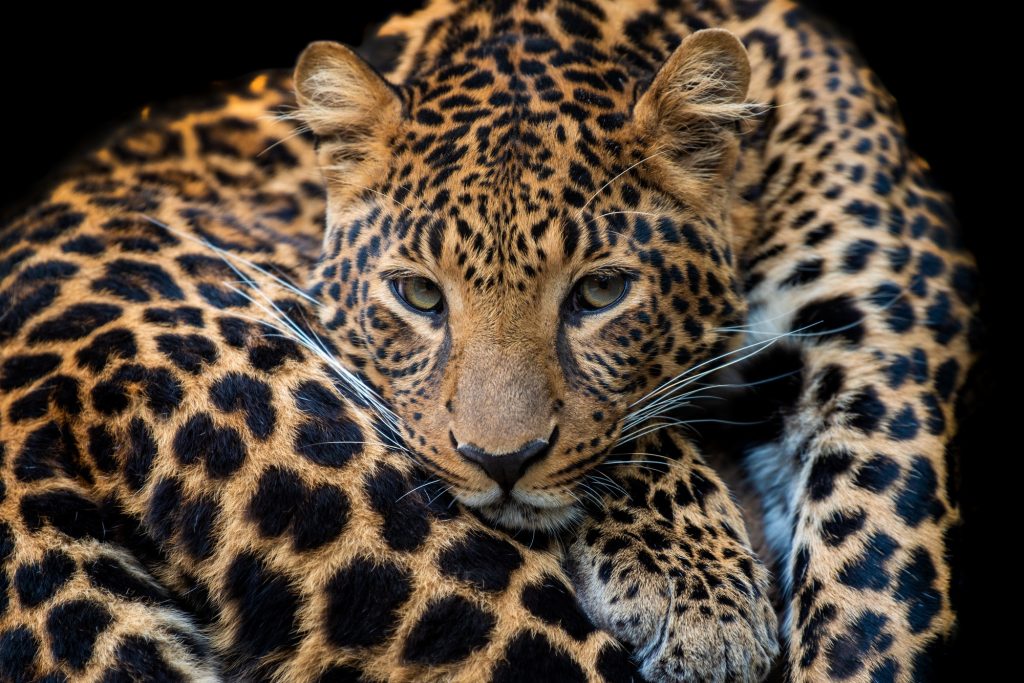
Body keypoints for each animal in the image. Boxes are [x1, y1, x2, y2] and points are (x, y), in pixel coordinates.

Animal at [0, 1, 978, 682]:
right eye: (418, 295)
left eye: (601, 292)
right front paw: (701, 601)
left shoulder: (877, 354)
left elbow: (874, 594)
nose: (497, 461)